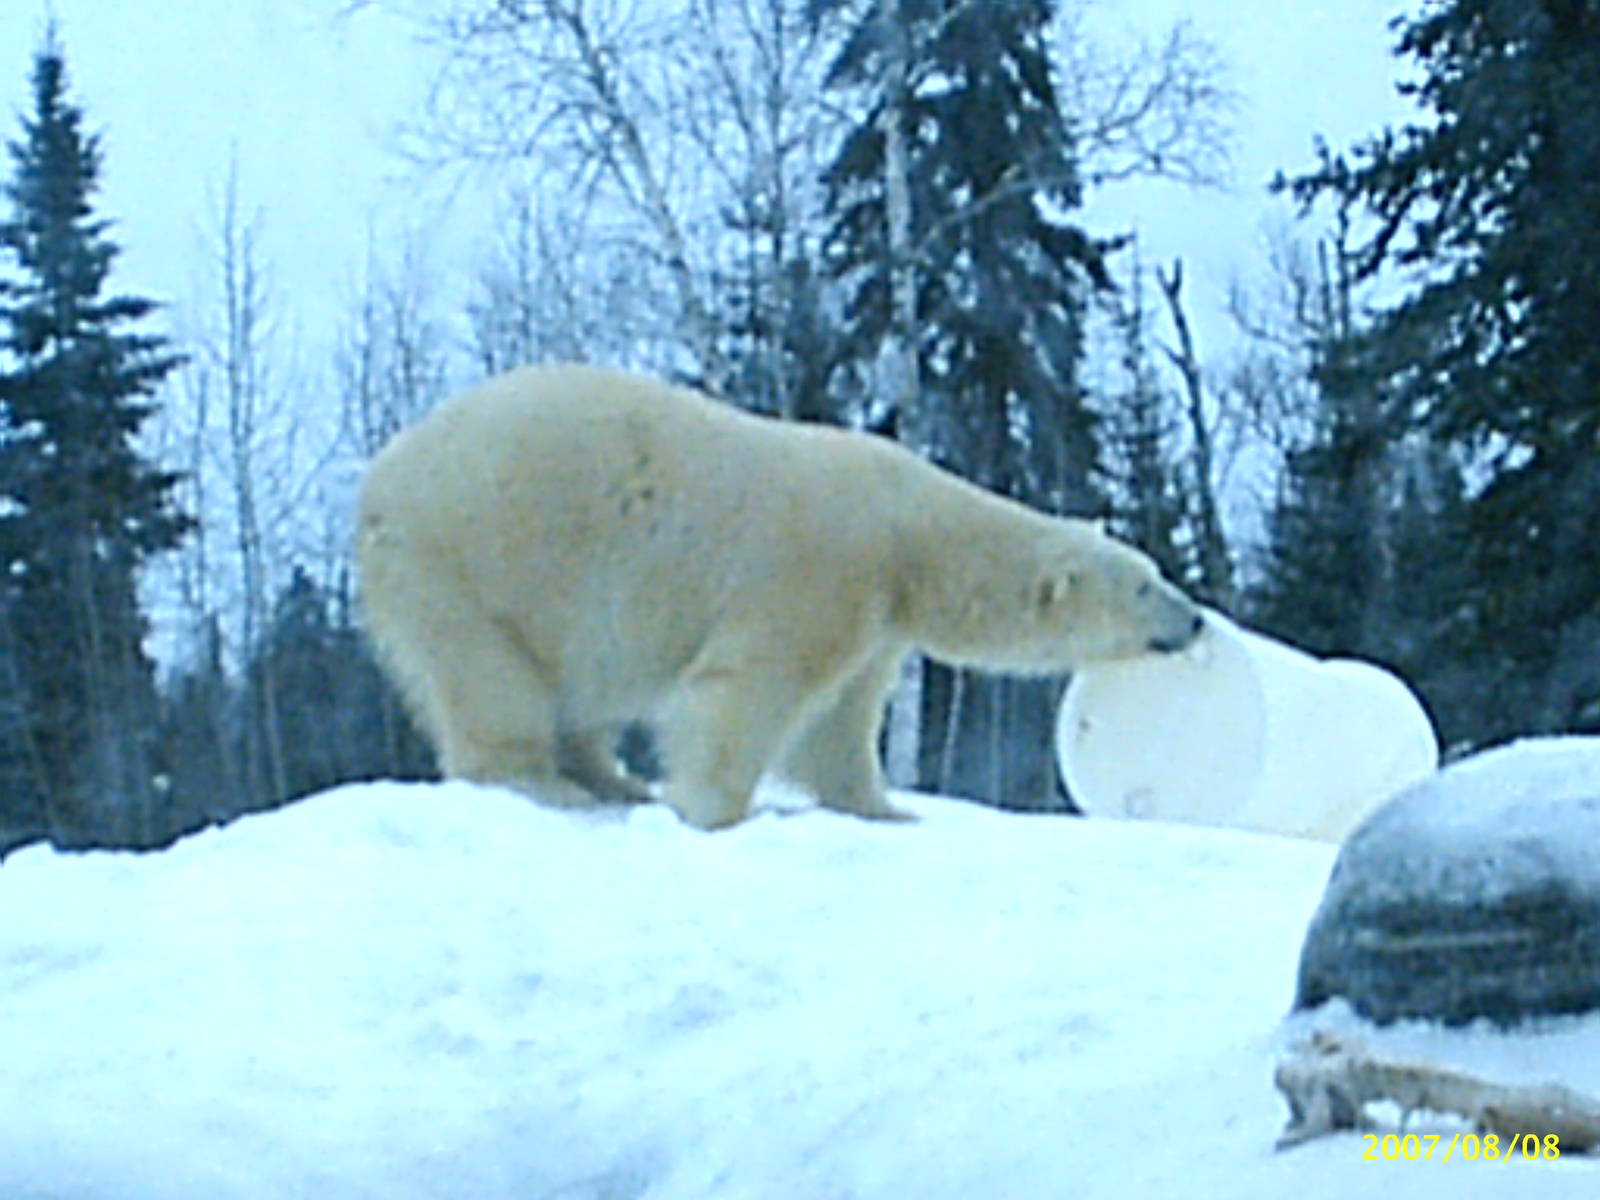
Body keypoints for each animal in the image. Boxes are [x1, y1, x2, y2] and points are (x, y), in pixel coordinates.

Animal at [356, 363, 1202, 830]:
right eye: (1144, 585)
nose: (1193, 619)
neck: (907, 525)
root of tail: (377, 485)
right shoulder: (818, 568)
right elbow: (749, 689)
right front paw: (722, 808)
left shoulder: (877, 617)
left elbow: (840, 723)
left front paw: (886, 808)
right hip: (468, 567)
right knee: (494, 688)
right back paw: (546, 784)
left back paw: (611, 778)